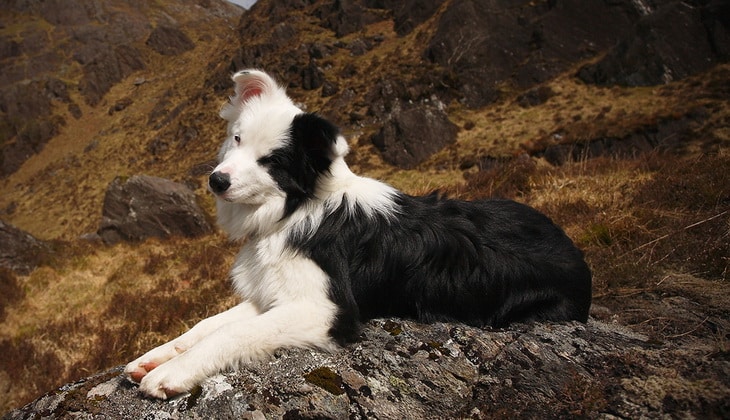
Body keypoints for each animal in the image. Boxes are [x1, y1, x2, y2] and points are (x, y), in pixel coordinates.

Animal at [125, 69, 592, 400]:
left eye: (272, 161)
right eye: (235, 139)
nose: (216, 181)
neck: (296, 209)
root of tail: (575, 252)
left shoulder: (326, 308)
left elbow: (231, 333)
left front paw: (172, 373)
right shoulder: (273, 294)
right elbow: (207, 323)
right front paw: (155, 358)